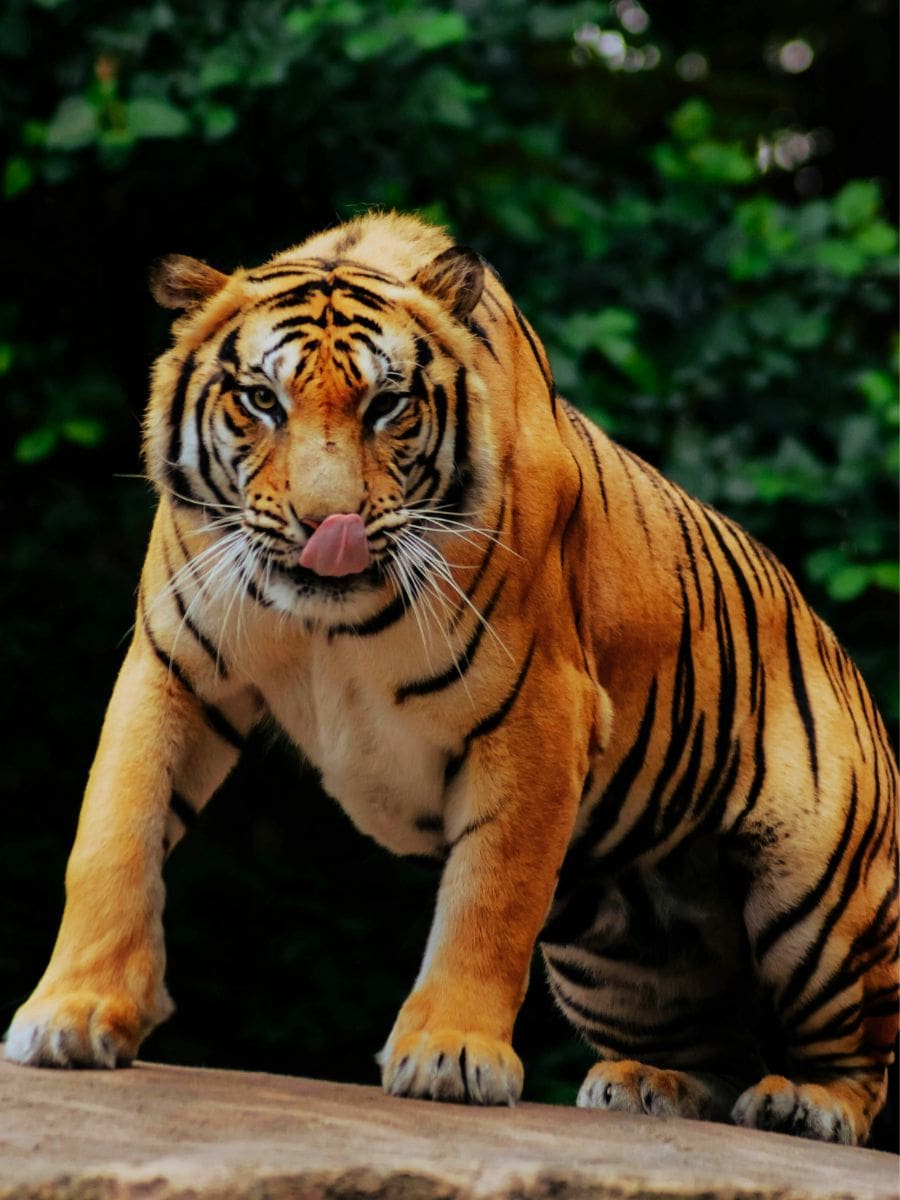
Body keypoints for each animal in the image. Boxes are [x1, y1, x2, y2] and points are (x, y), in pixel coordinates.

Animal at [5, 212, 897, 1145]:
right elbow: (115, 834)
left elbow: (490, 895)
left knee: (858, 1061)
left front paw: (451, 1055)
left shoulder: (538, 707)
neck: (324, 621)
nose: (327, 525)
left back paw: (805, 1103)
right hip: (613, 953)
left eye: (386, 405)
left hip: (819, 895)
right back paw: (647, 1084)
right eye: (262, 401)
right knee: (714, 1051)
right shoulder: (174, 667)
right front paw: (74, 1013)